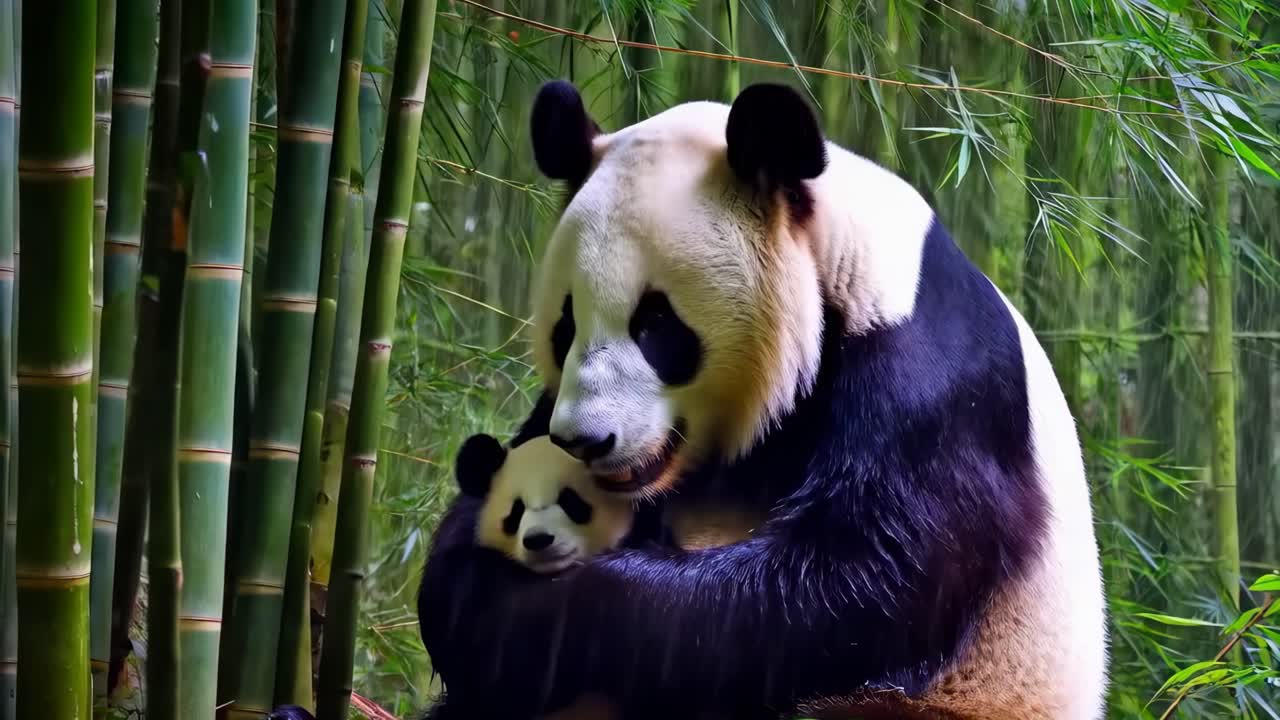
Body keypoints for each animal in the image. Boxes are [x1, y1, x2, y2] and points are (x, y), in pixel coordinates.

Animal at [418, 80, 1108, 719]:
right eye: (565, 329)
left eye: (656, 325)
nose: (585, 441)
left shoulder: (933, 381)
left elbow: (848, 585)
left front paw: (536, 615)